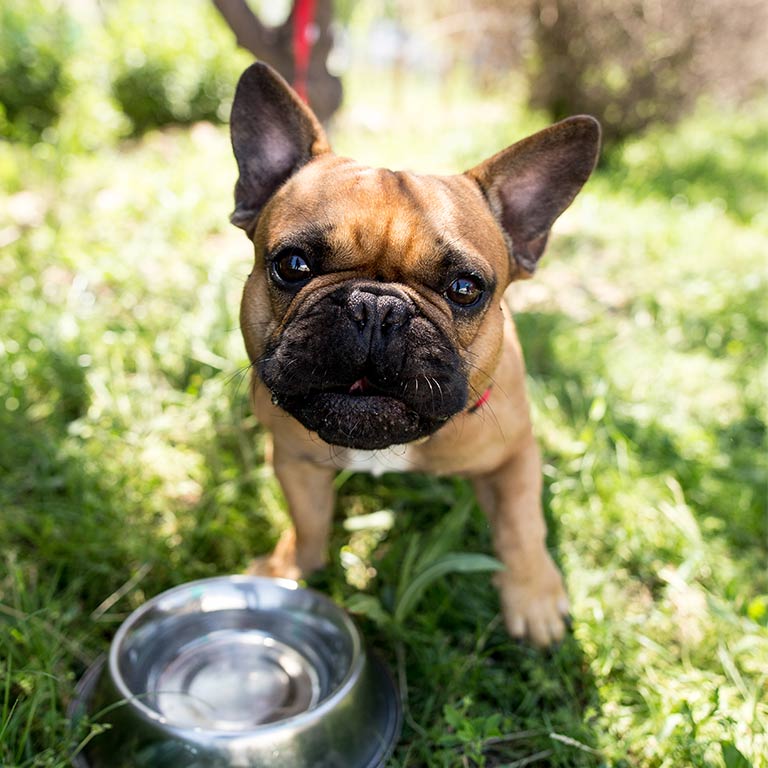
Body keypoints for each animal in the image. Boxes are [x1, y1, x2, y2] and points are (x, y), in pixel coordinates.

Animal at [228, 63, 600, 644]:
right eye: (292, 265)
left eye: (466, 289)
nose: (374, 308)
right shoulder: (294, 459)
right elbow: (309, 522)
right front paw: (290, 567)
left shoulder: (515, 453)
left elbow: (522, 524)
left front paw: (534, 596)